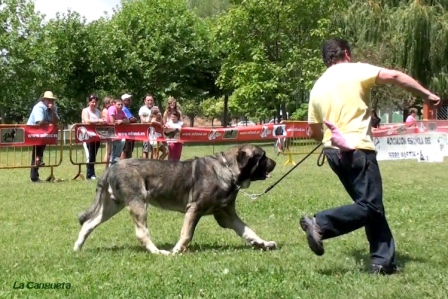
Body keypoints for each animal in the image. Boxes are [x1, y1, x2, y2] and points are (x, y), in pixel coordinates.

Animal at [73, 145, 276, 255]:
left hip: (112, 206)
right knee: (142, 233)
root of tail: (111, 167)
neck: (228, 171)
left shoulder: (227, 216)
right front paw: (176, 251)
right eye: (263, 156)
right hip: (138, 203)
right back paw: (158, 252)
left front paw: (263, 243)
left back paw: (77, 248)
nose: (274, 163)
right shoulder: (194, 209)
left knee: (89, 224)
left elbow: (248, 231)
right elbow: (186, 234)